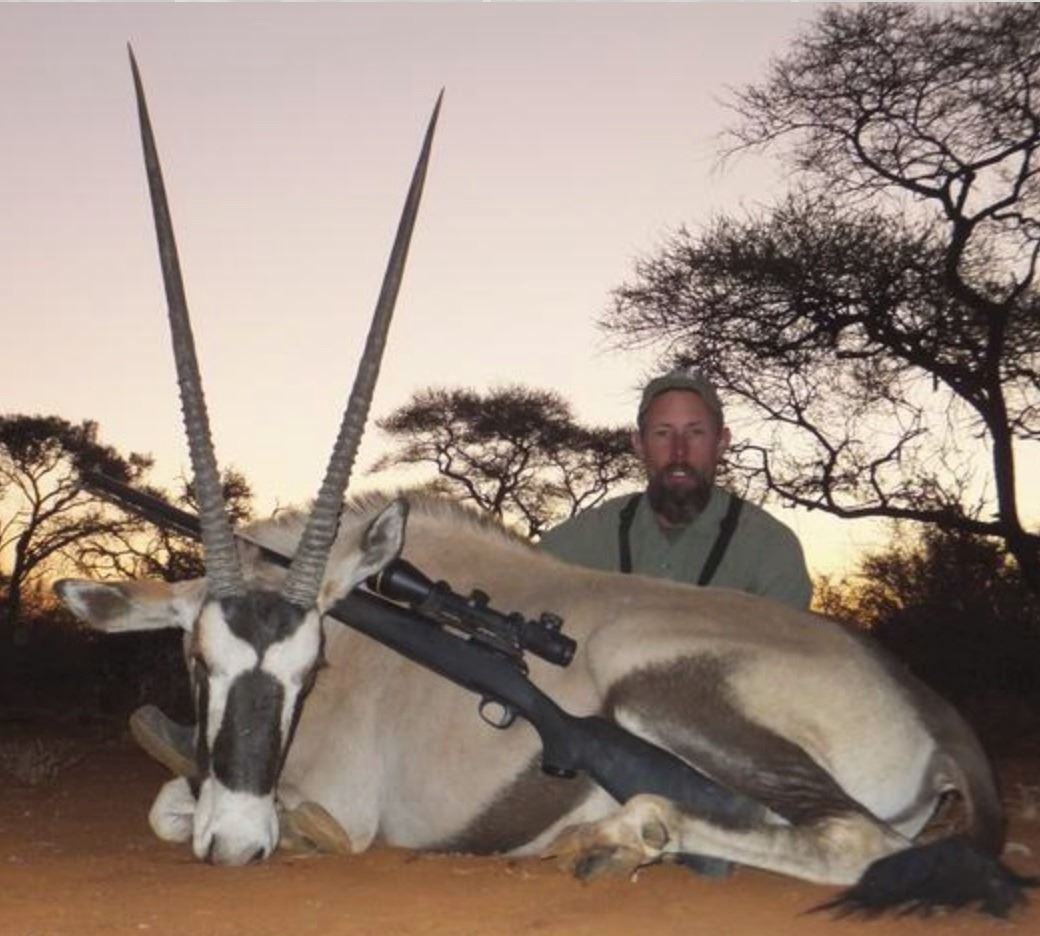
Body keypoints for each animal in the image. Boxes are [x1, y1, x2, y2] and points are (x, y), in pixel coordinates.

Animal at [55, 52, 1029, 916]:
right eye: (198, 660)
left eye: (311, 669)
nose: (239, 846)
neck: (367, 636)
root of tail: (923, 702)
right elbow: (169, 801)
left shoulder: (340, 794)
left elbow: (179, 806)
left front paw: (293, 833)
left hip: (666, 688)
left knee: (857, 838)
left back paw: (619, 839)